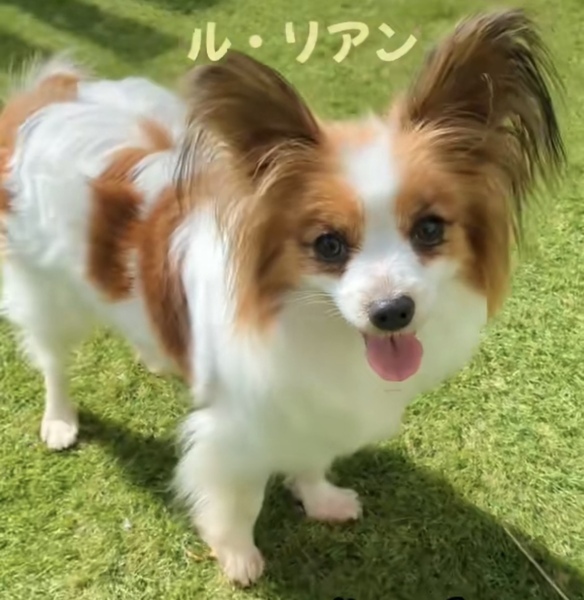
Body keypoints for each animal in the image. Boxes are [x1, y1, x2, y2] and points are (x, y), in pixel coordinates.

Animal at [0, 9, 565, 587]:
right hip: (48, 297)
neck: (313, 323)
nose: (392, 312)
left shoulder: (309, 404)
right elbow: (239, 499)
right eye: (328, 245)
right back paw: (59, 421)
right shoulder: (233, 430)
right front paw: (237, 555)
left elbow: (312, 461)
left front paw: (320, 500)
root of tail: (48, 97)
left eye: (430, 229)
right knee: (53, 361)